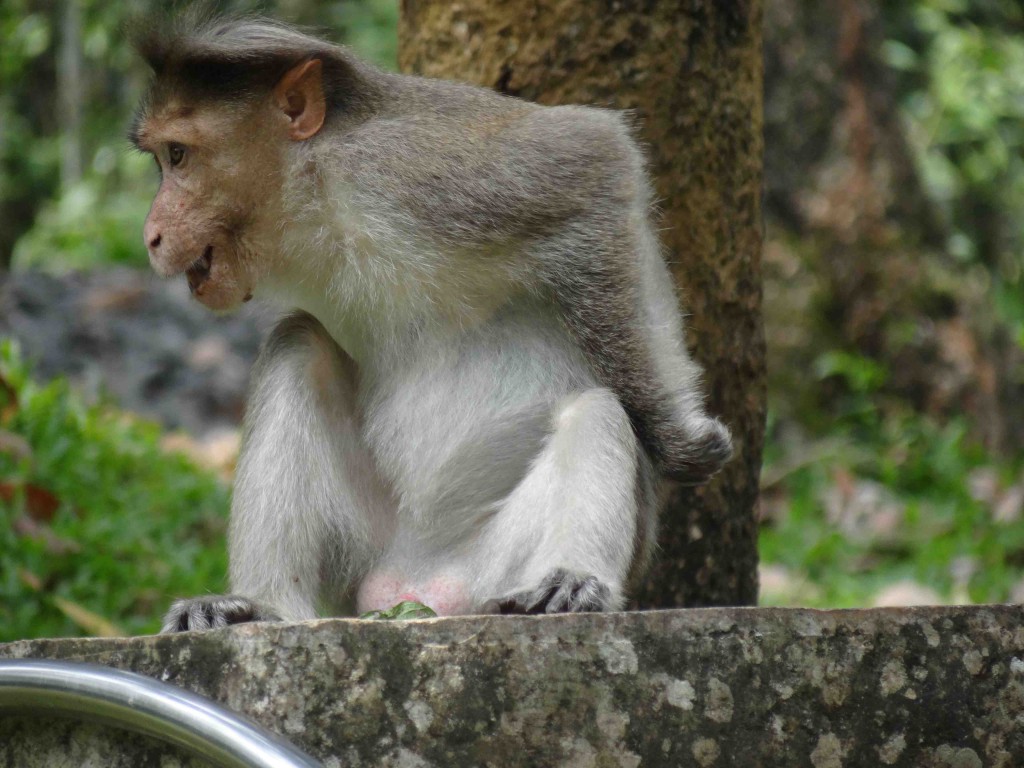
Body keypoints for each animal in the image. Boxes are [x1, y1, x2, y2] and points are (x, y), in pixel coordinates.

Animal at [130, 13, 737, 630]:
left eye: (179, 156)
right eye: (162, 159)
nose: (151, 235)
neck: (318, 195)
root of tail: (417, 586)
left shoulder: (407, 169)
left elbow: (597, 157)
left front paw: (676, 437)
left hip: (493, 567)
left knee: (596, 411)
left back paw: (571, 581)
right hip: (365, 553)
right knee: (298, 342)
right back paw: (263, 606)